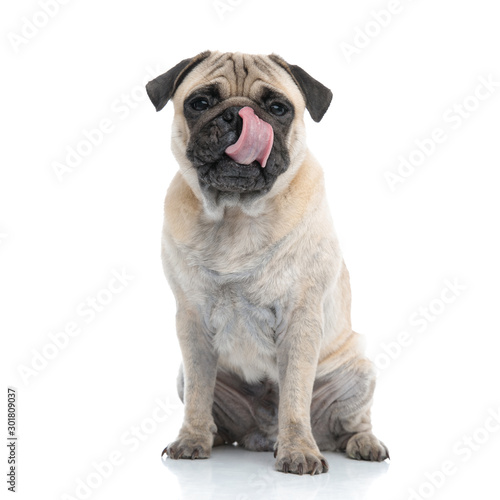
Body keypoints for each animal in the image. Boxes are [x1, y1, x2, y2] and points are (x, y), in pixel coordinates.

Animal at [146, 50, 388, 476]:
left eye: (277, 108)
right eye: (200, 103)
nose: (238, 115)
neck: (236, 215)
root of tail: (262, 434)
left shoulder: (300, 320)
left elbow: (294, 396)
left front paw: (299, 451)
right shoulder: (191, 323)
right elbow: (198, 392)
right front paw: (191, 439)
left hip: (359, 372)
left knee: (351, 424)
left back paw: (364, 444)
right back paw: (214, 436)